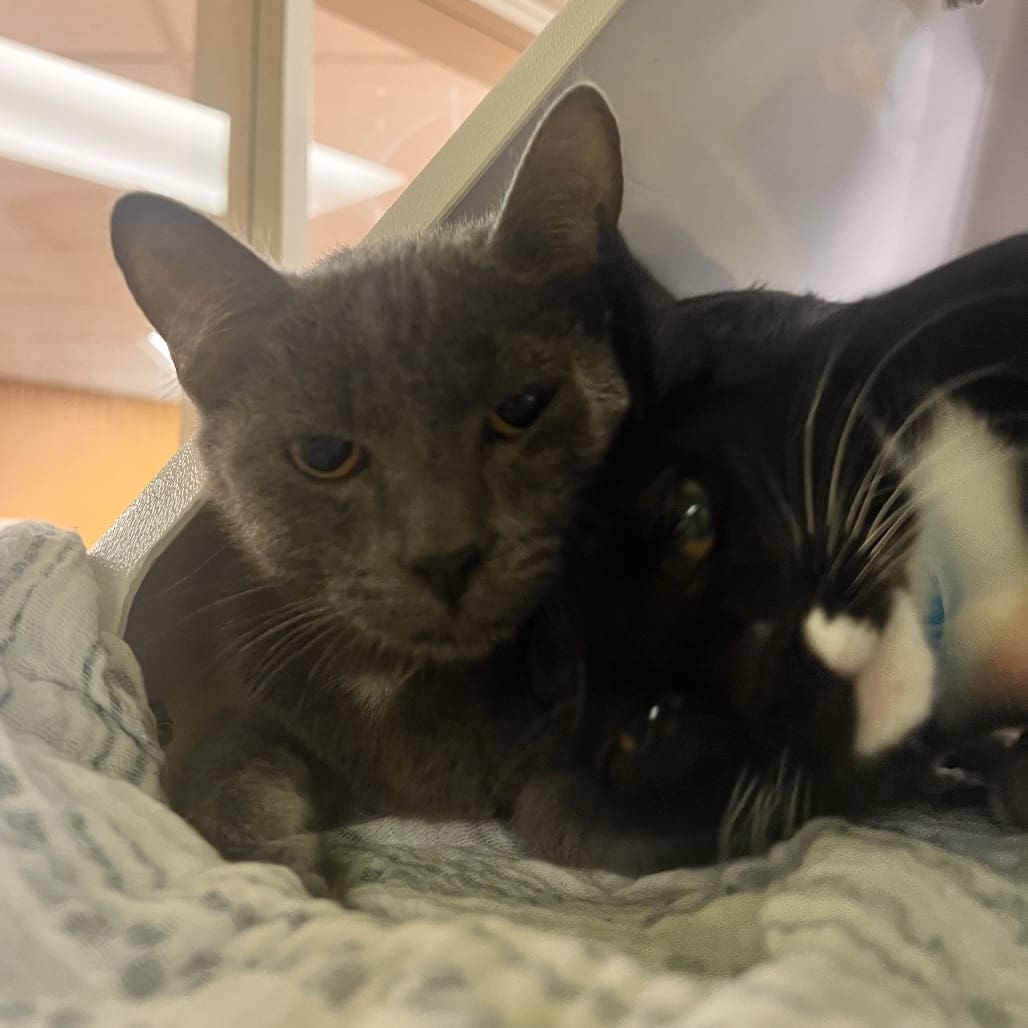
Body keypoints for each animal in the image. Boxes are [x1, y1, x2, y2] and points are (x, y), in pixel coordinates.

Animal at [112, 85, 674, 892]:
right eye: (324, 454)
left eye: (521, 408)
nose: (445, 556)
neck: (396, 680)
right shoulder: (259, 688)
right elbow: (224, 767)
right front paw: (279, 869)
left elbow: (563, 807)